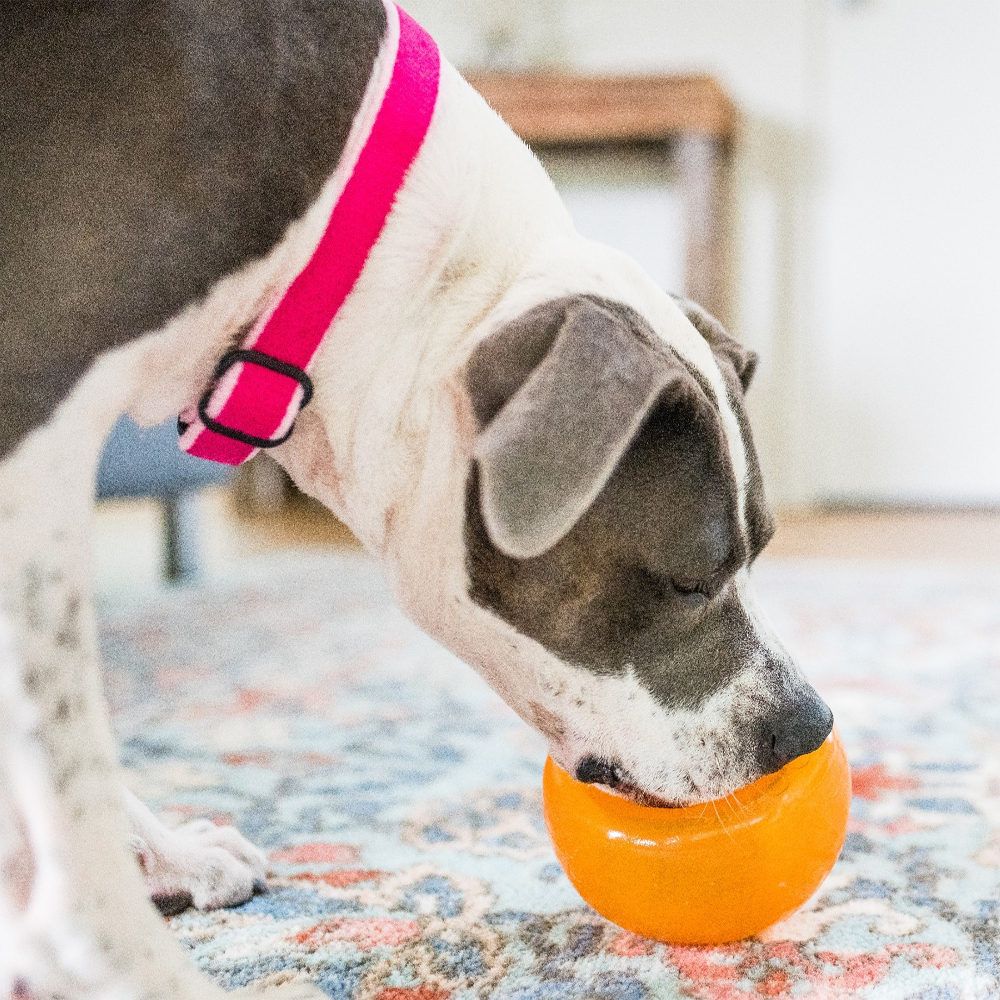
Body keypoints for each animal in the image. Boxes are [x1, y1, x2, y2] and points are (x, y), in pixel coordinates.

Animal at [0, 1, 832, 1000]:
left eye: (764, 547)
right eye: (689, 581)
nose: (809, 727)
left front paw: (165, 858)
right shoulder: (33, 432)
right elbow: (63, 751)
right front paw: (126, 961)